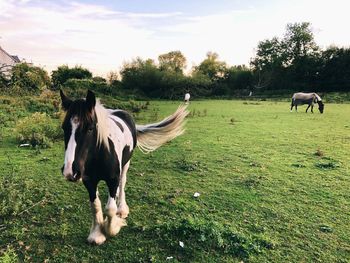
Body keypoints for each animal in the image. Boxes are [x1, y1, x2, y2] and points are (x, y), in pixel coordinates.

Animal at [59, 90, 189, 245]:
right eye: (64, 127)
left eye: (90, 128)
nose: (70, 172)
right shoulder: (89, 181)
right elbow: (95, 206)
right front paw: (97, 234)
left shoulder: (113, 179)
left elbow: (110, 208)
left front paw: (112, 228)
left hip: (126, 164)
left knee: (122, 183)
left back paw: (121, 209)